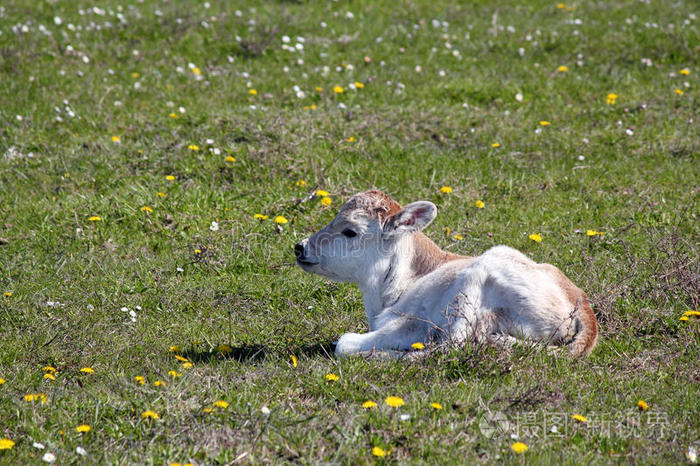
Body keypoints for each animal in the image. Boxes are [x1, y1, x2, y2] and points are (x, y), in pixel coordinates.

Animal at [294, 189, 596, 356]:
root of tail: (581, 303)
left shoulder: (411, 323)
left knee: (452, 346)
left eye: (350, 231)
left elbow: (344, 343)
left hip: (476, 280)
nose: (300, 246)